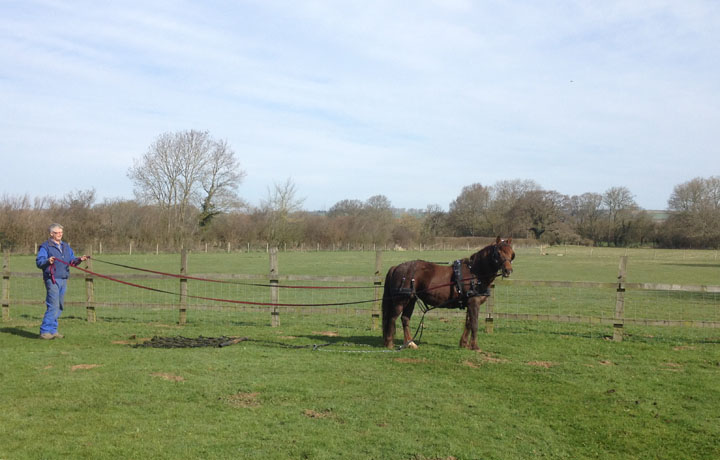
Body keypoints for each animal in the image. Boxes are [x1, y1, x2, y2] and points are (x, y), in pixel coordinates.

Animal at [380, 235, 516, 350]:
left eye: (511, 253)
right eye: (498, 253)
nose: (508, 270)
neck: (475, 273)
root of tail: (396, 267)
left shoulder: (469, 303)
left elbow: (468, 323)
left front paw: (464, 344)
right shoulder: (474, 302)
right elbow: (474, 324)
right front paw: (475, 346)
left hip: (411, 300)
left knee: (405, 319)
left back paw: (410, 343)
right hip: (401, 301)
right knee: (392, 318)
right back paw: (390, 343)